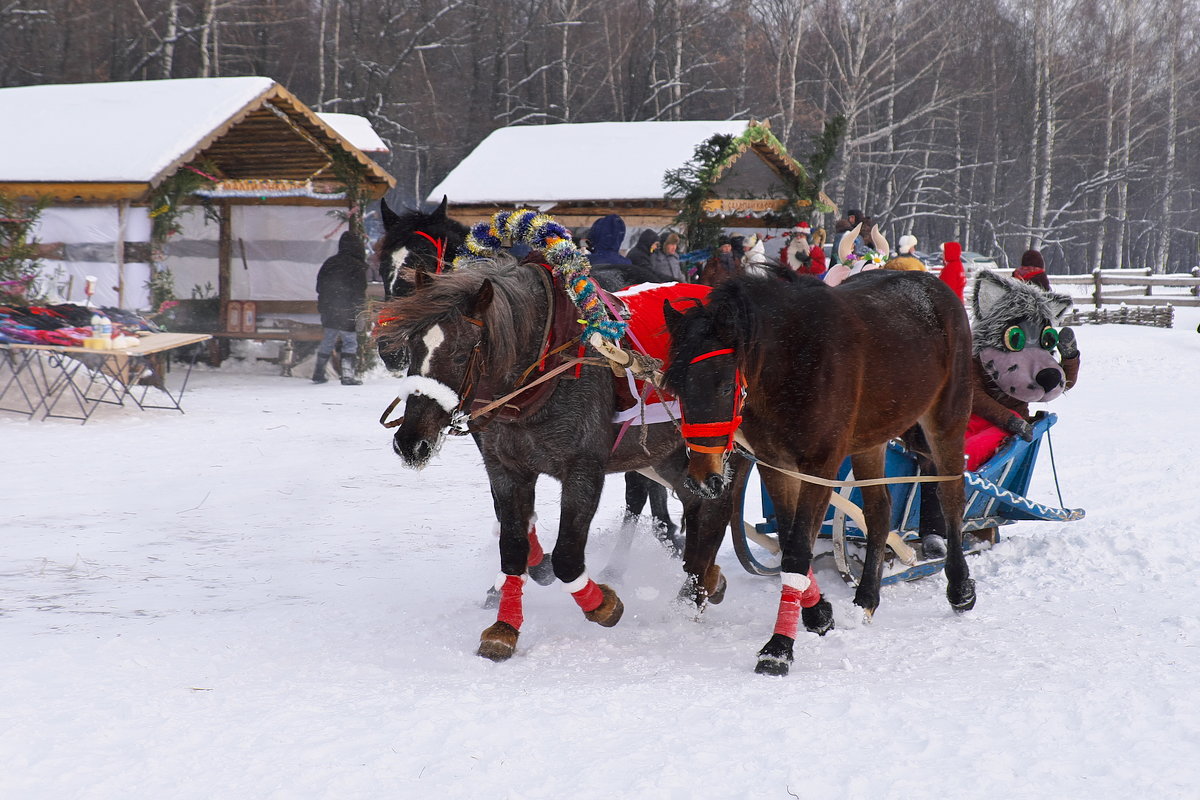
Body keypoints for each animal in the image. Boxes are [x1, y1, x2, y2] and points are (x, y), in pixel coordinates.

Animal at [374, 257, 739, 662]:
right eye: (413, 348)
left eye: (459, 353)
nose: (410, 441)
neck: (544, 374)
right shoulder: (505, 468)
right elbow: (513, 547)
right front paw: (505, 628)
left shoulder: (584, 469)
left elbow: (566, 556)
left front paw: (601, 605)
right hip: (667, 452)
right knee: (698, 499)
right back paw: (703, 579)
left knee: (717, 502)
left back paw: (694, 591)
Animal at [662, 271, 979, 676]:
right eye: (677, 388)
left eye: (726, 385)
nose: (704, 479)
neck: (793, 364)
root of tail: (934, 285)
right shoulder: (776, 463)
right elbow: (789, 543)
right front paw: (818, 613)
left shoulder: (821, 466)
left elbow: (797, 552)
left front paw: (779, 648)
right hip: (870, 439)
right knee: (879, 511)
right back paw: (865, 600)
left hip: (947, 418)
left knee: (951, 497)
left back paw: (960, 588)